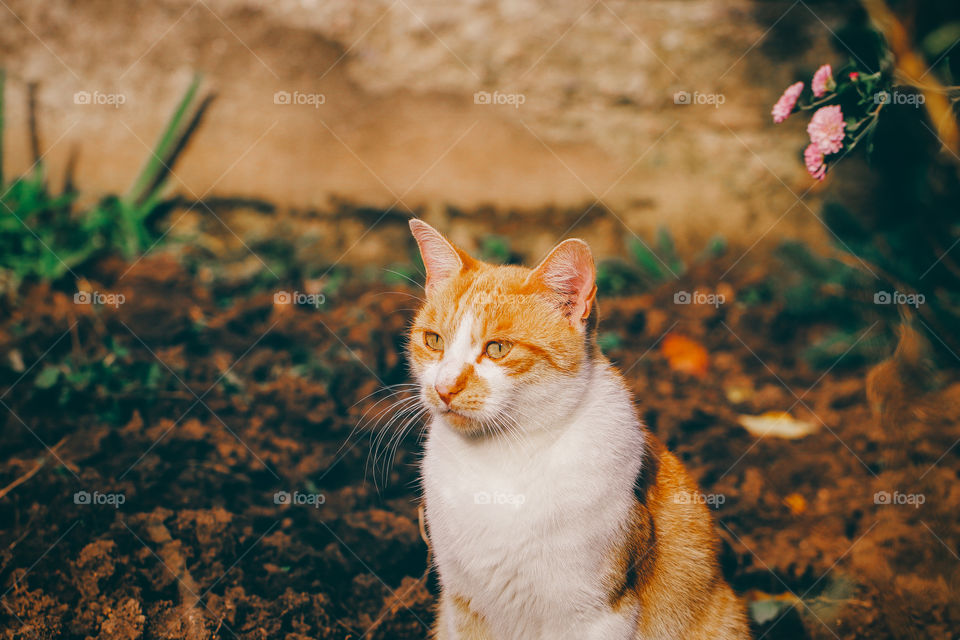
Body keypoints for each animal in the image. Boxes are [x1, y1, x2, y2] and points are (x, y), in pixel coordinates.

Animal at [406, 220, 752, 640]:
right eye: (433, 341)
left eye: (498, 349)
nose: (443, 387)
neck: (501, 458)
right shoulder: (462, 606)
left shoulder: (594, 614)